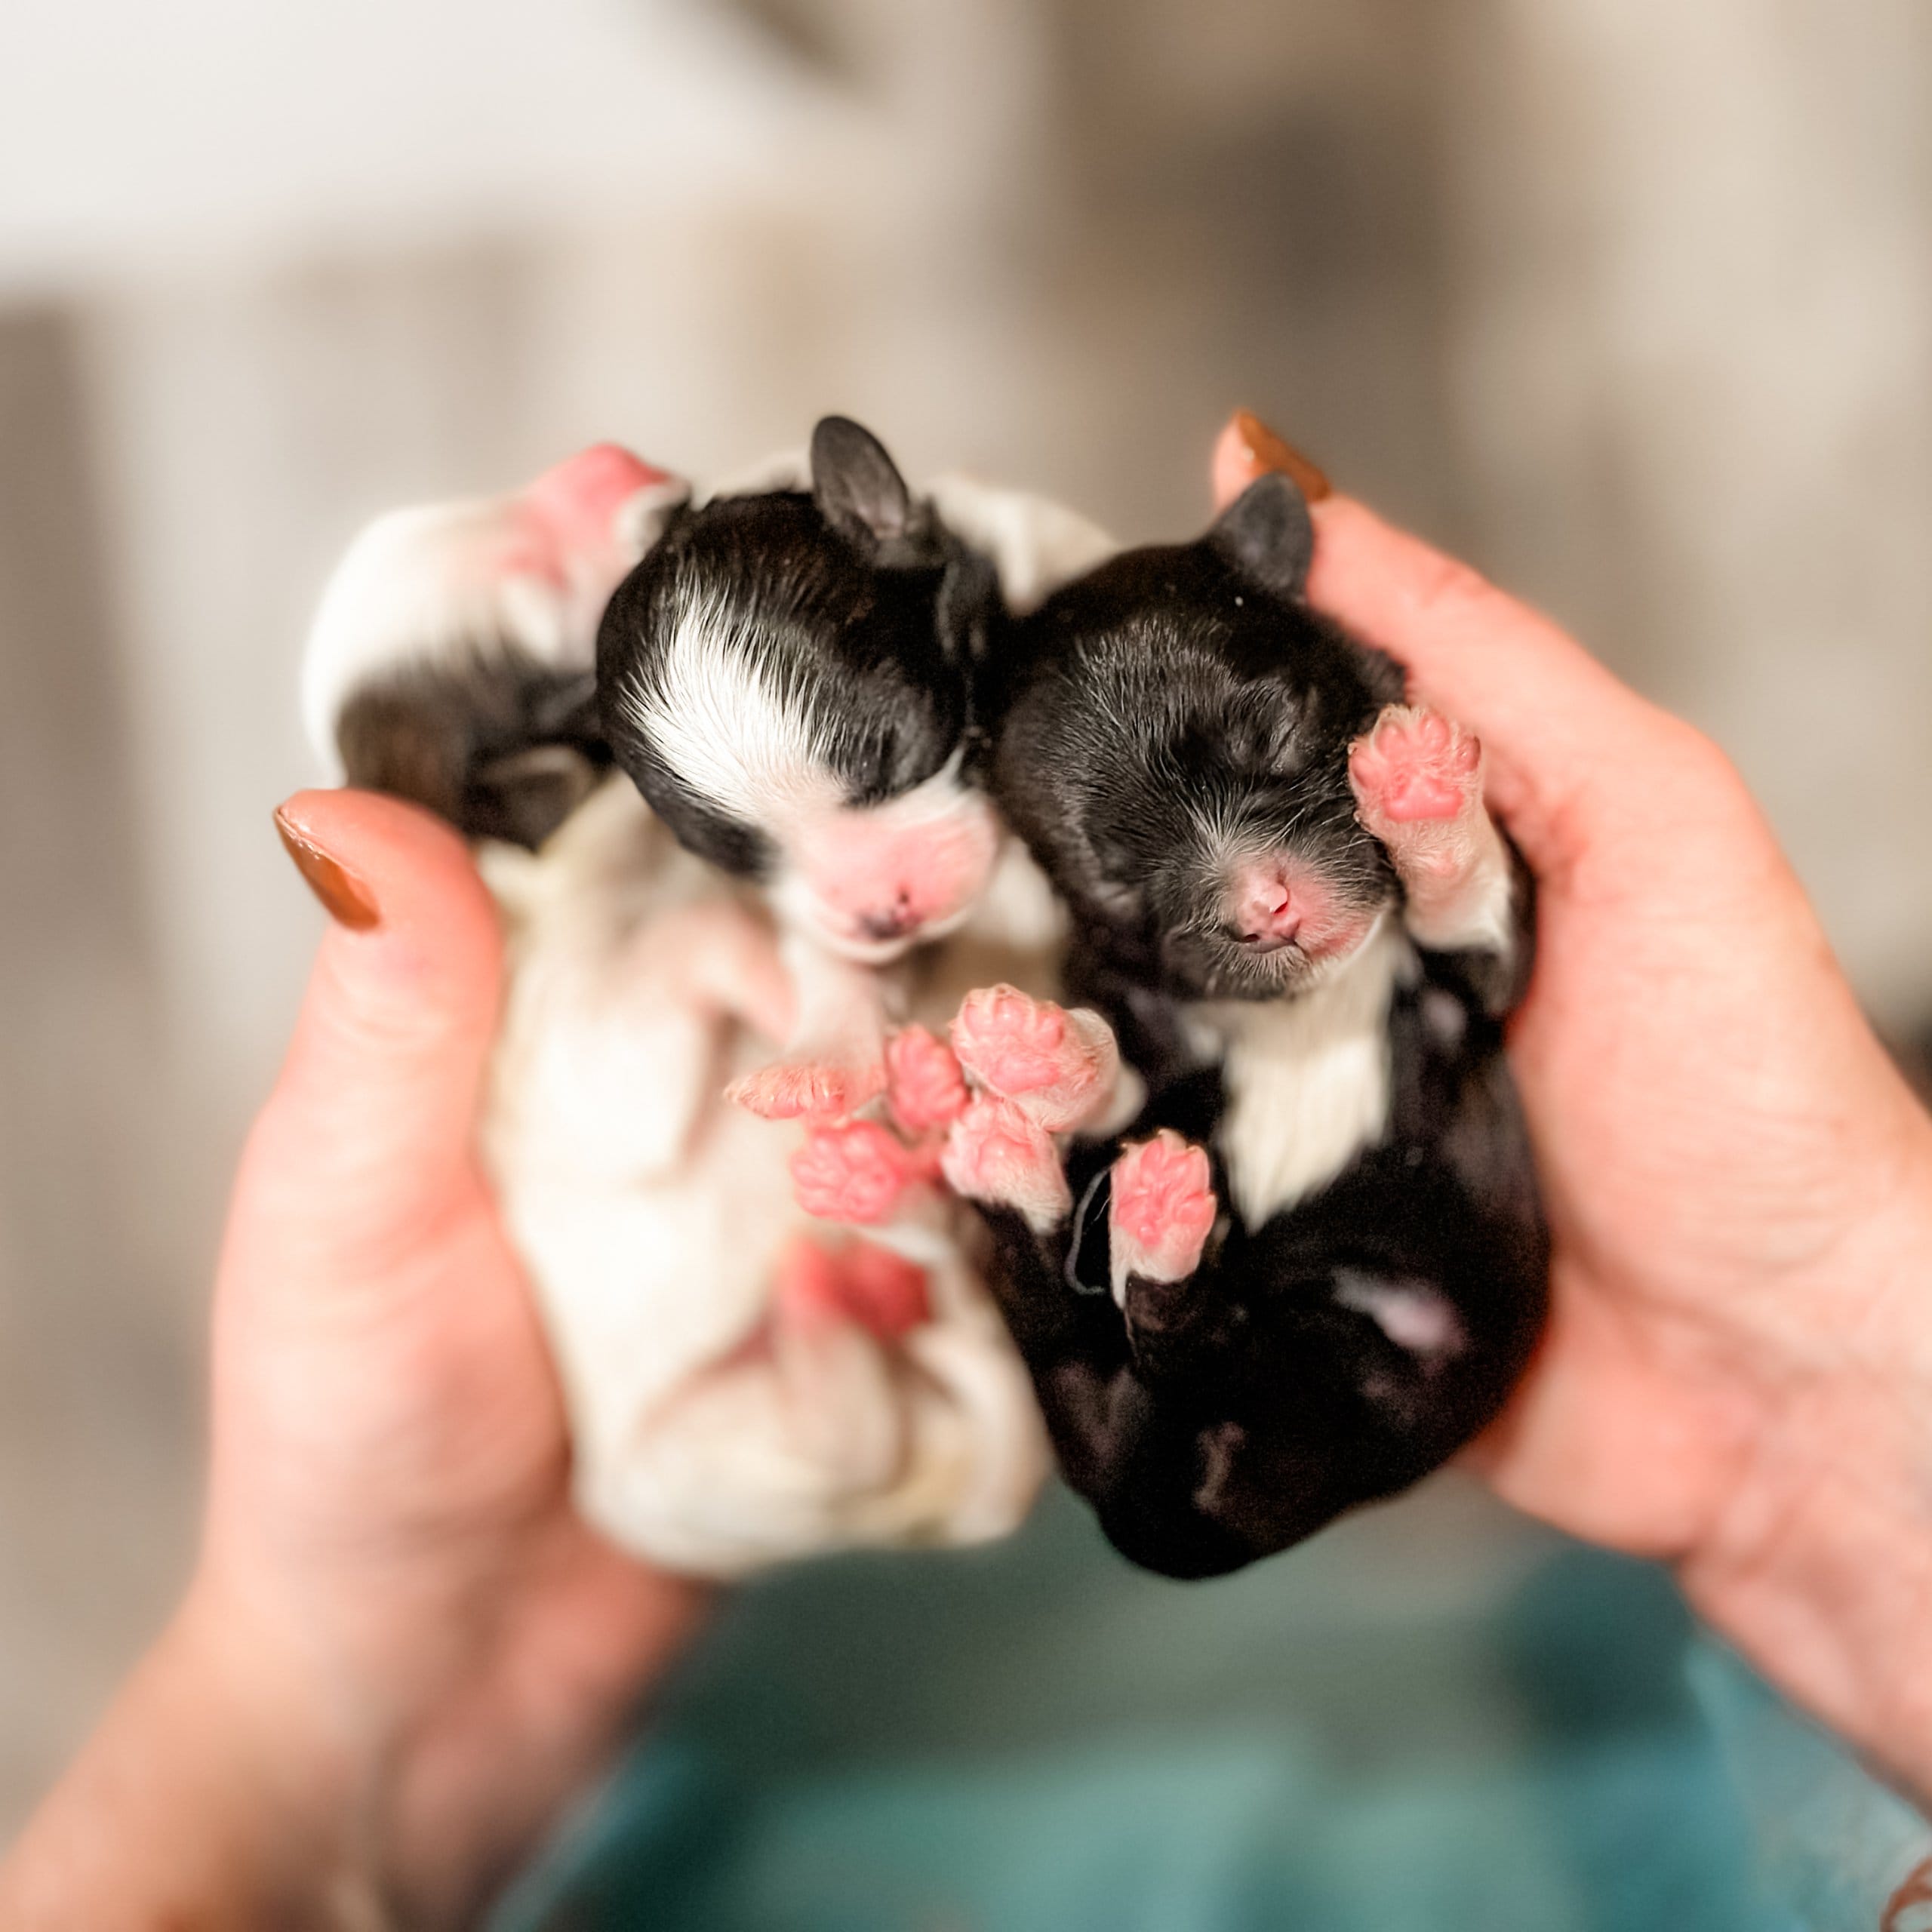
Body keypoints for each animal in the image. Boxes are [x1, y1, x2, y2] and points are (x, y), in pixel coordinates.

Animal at [935, 471, 1553, 1584]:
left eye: (1271, 730)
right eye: (1117, 876)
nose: (1264, 909)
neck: (1313, 1005)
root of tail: (1155, 1509)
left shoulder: (1483, 976)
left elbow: (1471, 897)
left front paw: (1422, 795)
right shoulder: (1143, 1016)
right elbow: (1122, 1061)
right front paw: (1036, 1054)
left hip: (1353, 1375)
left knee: (1173, 1342)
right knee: (1103, 1324)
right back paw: (1077, 1182)